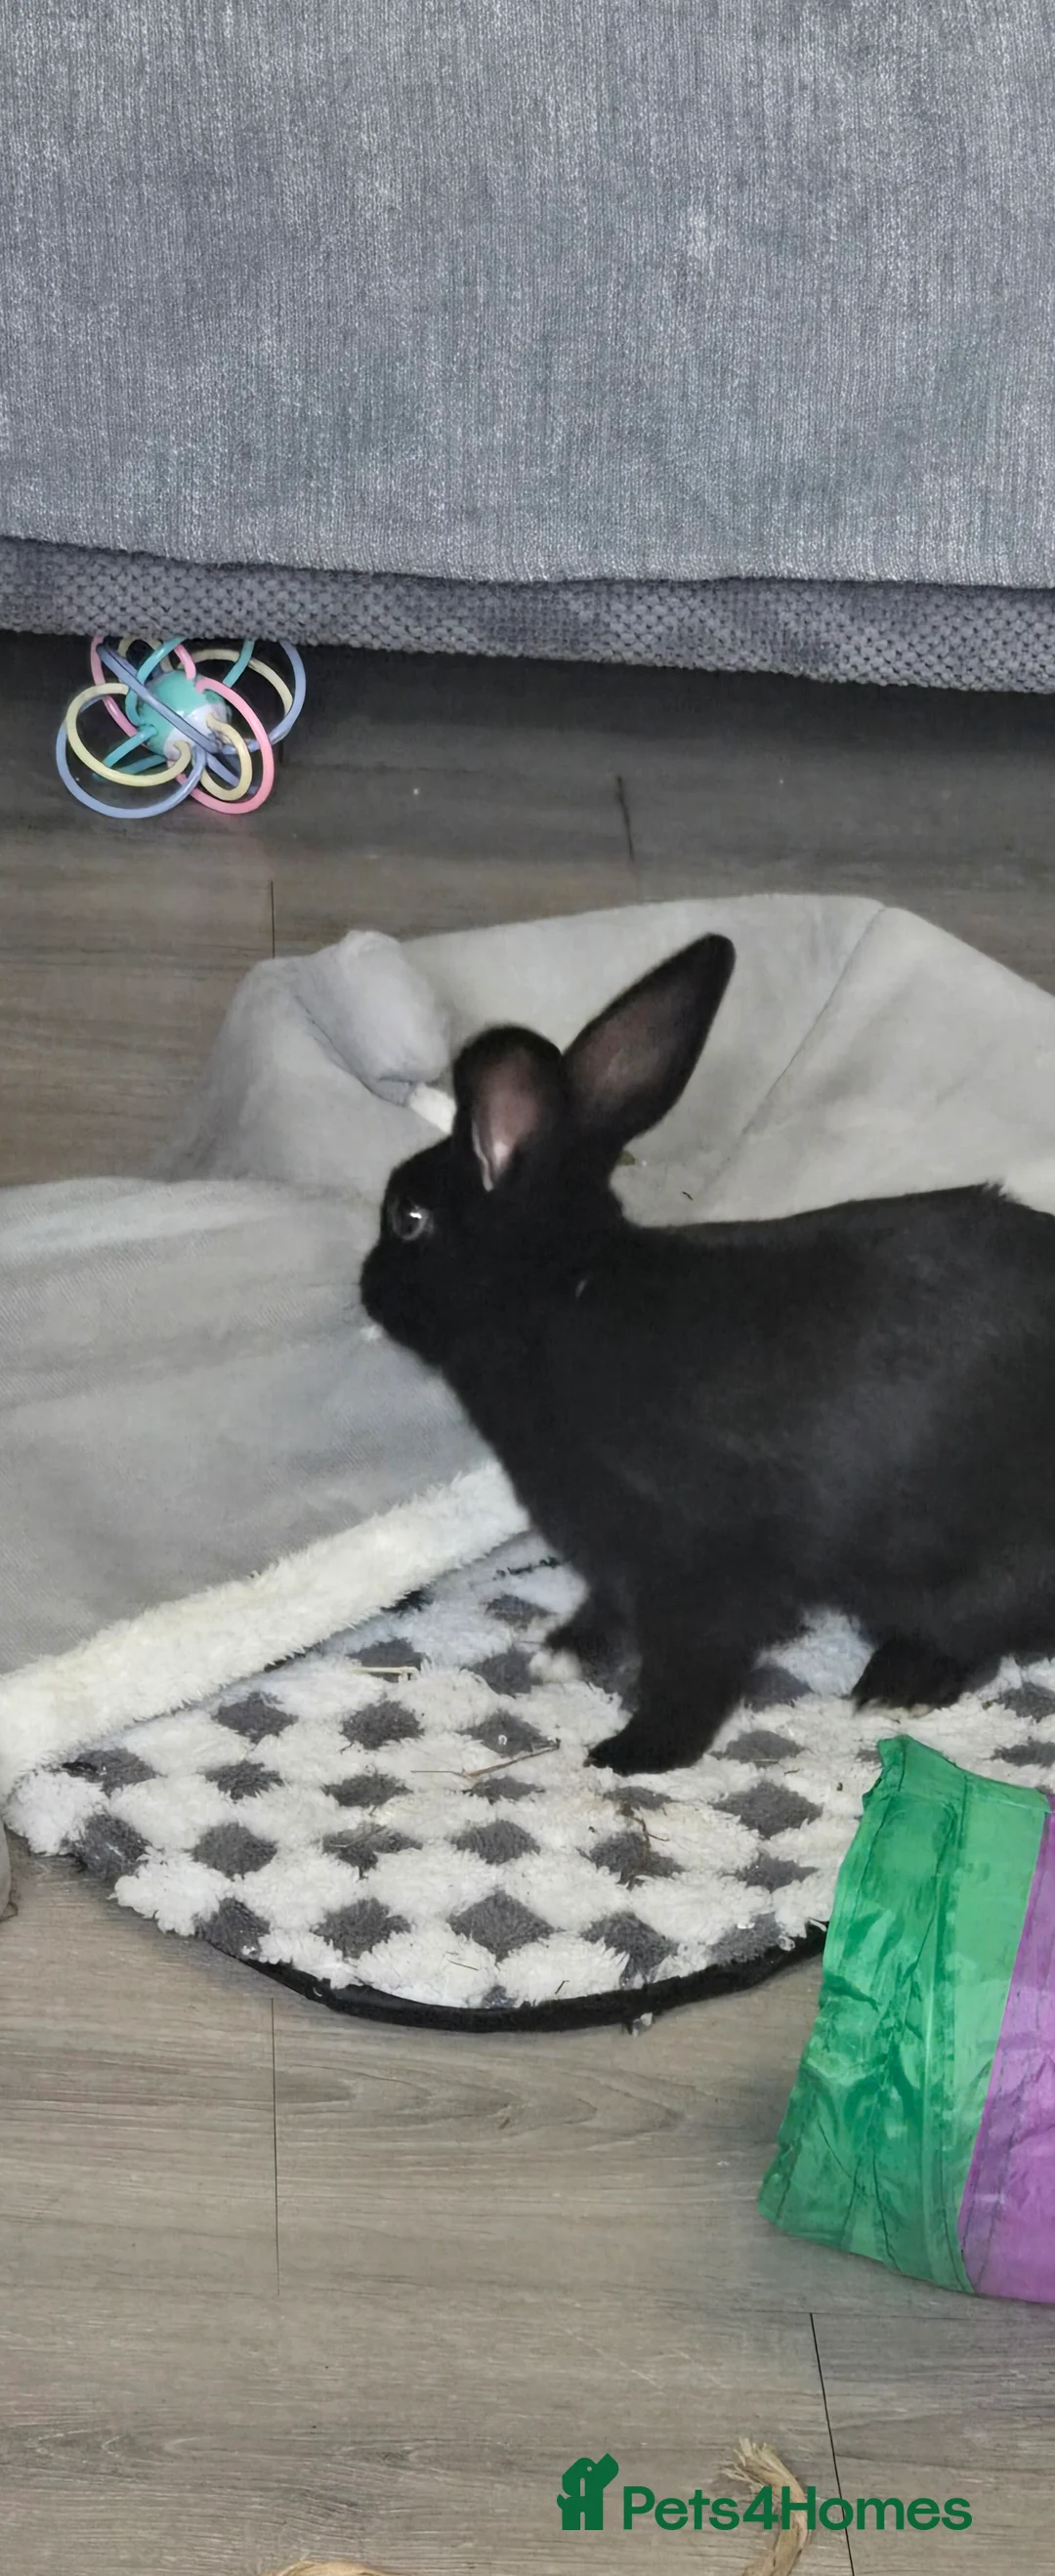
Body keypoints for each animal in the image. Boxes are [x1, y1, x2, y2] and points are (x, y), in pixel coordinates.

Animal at [361, 932, 1055, 1774]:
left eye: (409, 1217)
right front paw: (563, 1650)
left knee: (979, 1631)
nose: (365, 1286)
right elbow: (608, 1605)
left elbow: (694, 1666)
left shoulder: (699, 1569)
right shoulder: (618, 1561)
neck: (563, 1292)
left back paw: (895, 1684)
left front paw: (634, 1752)